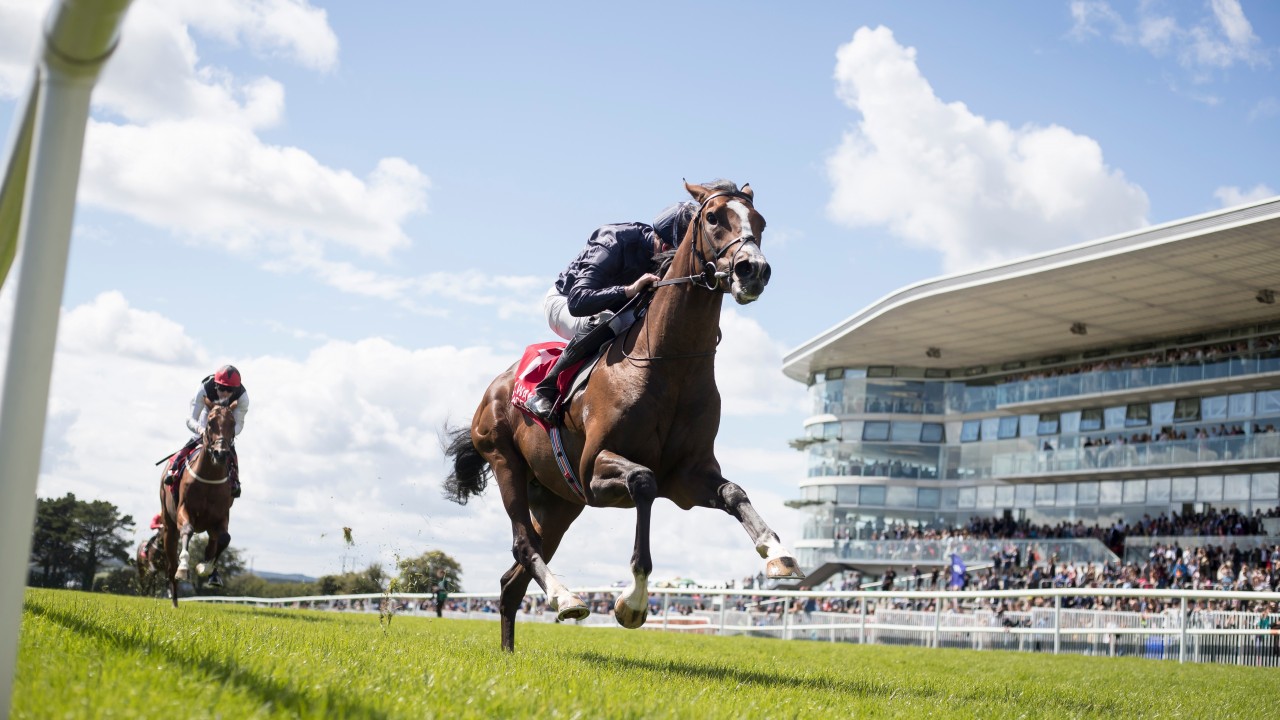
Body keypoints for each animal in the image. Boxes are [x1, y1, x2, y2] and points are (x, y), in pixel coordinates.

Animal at [160, 394, 238, 602]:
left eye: (233, 423)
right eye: (210, 422)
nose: (221, 453)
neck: (210, 477)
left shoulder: (221, 517)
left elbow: (225, 538)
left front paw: (206, 567)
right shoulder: (184, 509)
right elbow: (187, 529)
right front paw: (184, 567)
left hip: (209, 527)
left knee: (214, 542)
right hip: (169, 526)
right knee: (170, 564)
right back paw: (174, 598)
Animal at [440, 179, 798, 650]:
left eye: (760, 222)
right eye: (713, 217)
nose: (752, 270)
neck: (670, 363)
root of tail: (494, 389)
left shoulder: (687, 478)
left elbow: (734, 493)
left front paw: (779, 554)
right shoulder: (596, 468)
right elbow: (643, 482)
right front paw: (633, 602)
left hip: (560, 503)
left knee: (510, 580)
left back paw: (512, 648)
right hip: (505, 463)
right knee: (522, 545)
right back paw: (566, 598)